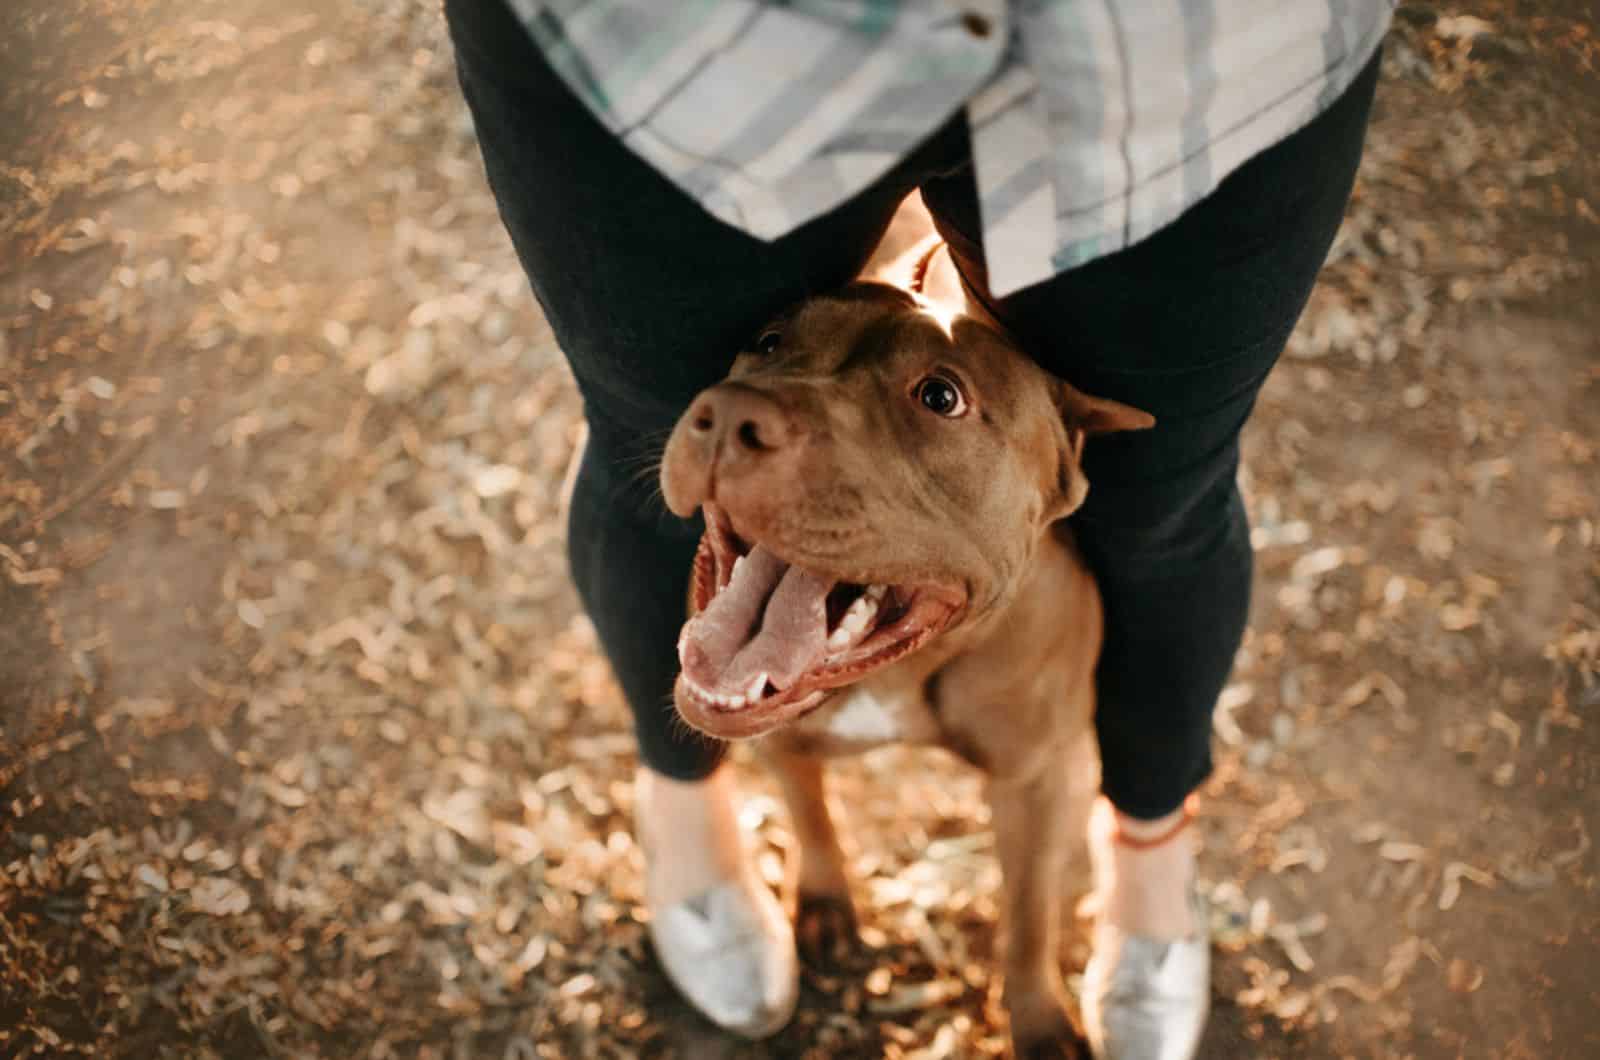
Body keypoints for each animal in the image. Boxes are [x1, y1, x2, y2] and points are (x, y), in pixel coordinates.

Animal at [656, 240, 1158, 1060]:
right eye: (769, 341)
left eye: (941, 397)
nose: (728, 413)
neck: (906, 668)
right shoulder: (782, 736)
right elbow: (809, 812)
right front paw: (825, 900)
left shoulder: (1037, 779)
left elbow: (1029, 910)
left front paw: (1039, 1020)